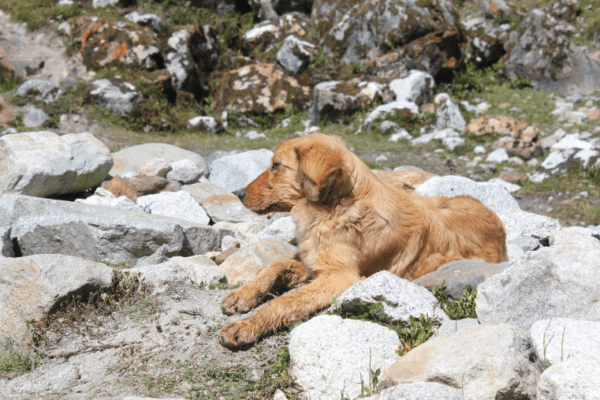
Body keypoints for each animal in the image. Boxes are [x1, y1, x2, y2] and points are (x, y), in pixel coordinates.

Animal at [216, 134, 506, 346]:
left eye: (276, 165)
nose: (238, 193)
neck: (335, 209)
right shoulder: (313, 261)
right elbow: (274, 265)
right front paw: (243, 295)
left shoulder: (340, 277)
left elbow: (284, 302)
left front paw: (246, 326)